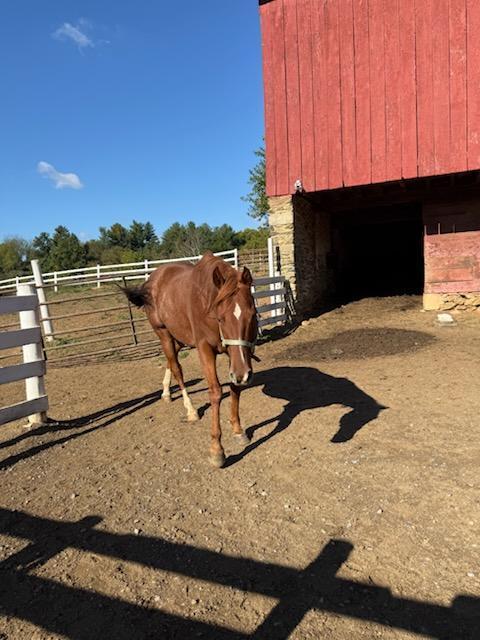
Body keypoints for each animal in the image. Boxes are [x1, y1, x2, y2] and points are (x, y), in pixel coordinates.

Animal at [121, 251, 258, 467]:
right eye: (221, 318)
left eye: (252, 315)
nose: (243, 374)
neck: (207, 301)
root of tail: (152, 279)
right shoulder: (204, 349)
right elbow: (215, 392)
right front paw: (216, 450)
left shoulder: (235, 354)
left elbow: (235, 388)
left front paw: (238, 431)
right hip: (164, 335)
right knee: (177, 368)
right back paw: (191, 410)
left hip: (178, 337)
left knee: (171, 362)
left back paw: (166, 393)